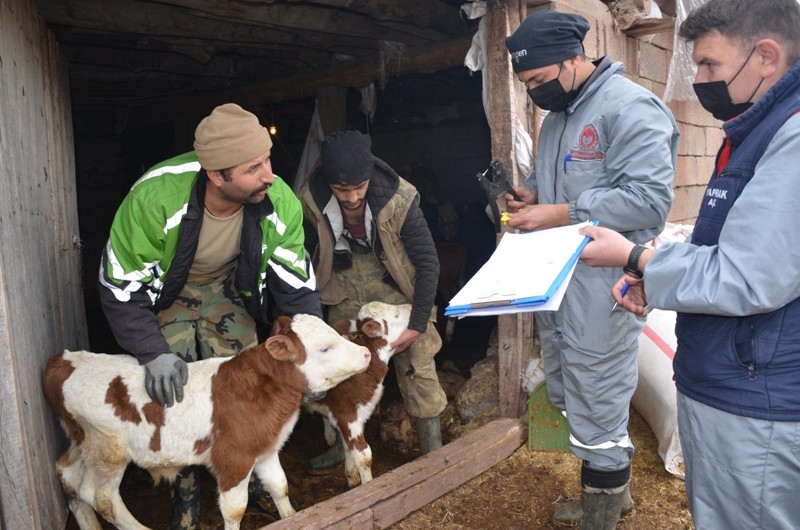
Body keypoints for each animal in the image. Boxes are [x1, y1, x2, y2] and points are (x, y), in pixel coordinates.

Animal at [42, 312, 370, 528]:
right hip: (107, 452)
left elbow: (280, 487)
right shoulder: (233, 457)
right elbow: (235, 509)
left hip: (82, 443)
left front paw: (291, 518)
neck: (260, 386)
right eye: (325, 347)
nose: (366, 352)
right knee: (101, 497)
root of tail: (63, 361)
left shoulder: (264, 448)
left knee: (67, 476)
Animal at [304, 302, 410, 486]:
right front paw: (366, 485)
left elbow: (348, 446)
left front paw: (352, 477)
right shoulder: (347, 413)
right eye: (396, 314)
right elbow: (364, 456)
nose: (411, 306)